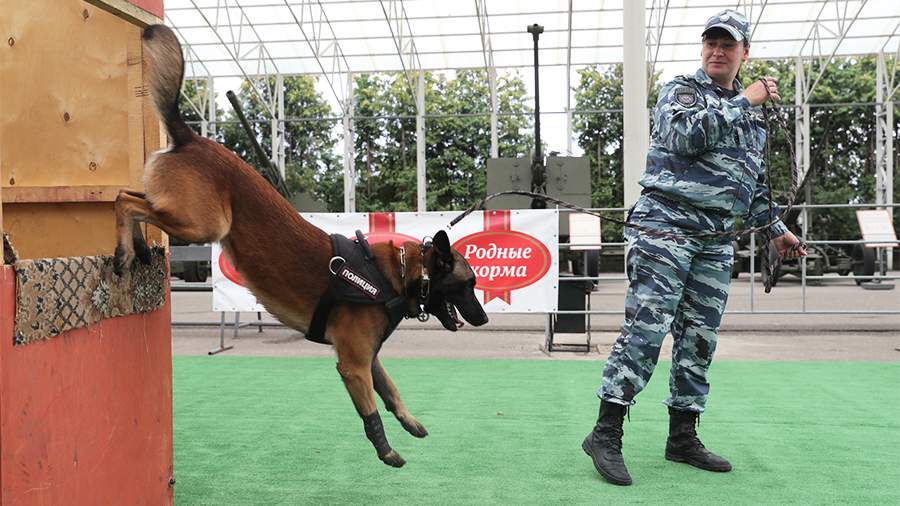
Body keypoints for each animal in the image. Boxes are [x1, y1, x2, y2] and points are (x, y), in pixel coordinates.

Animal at [118, 23, 492, 466]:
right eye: (468, 284)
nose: (484, 319)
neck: (397, 274)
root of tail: (191, 136)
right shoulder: (353, 365)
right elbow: (370, 411)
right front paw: (385, 450)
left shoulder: (369, 357)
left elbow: (391, 391)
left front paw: (410, 422)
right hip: (203, 225)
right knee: (123, 202)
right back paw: (125, 252)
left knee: (129, 196)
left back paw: (139, 249)